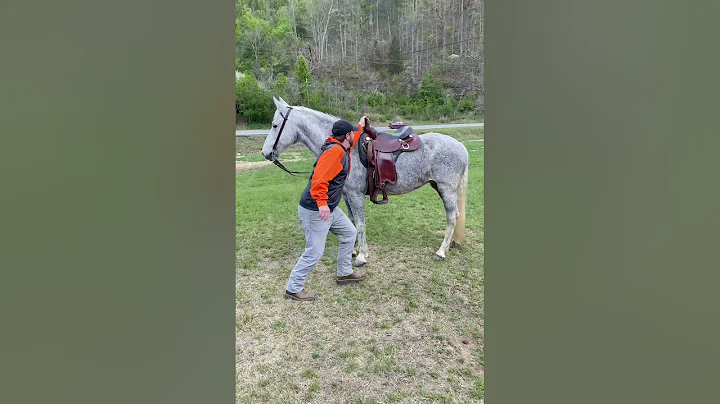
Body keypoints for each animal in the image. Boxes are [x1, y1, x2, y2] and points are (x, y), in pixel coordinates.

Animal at [262, 96, 470, 266]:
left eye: (274, 125)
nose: (265, 153)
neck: (347, 148)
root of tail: (460, 146)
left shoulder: (356, 195)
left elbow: (361, 224)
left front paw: (362, 255)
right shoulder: (347, 195)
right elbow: (354, 221)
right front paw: (354, 250)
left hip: (447, 190)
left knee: (452, 217)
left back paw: (441, 251)